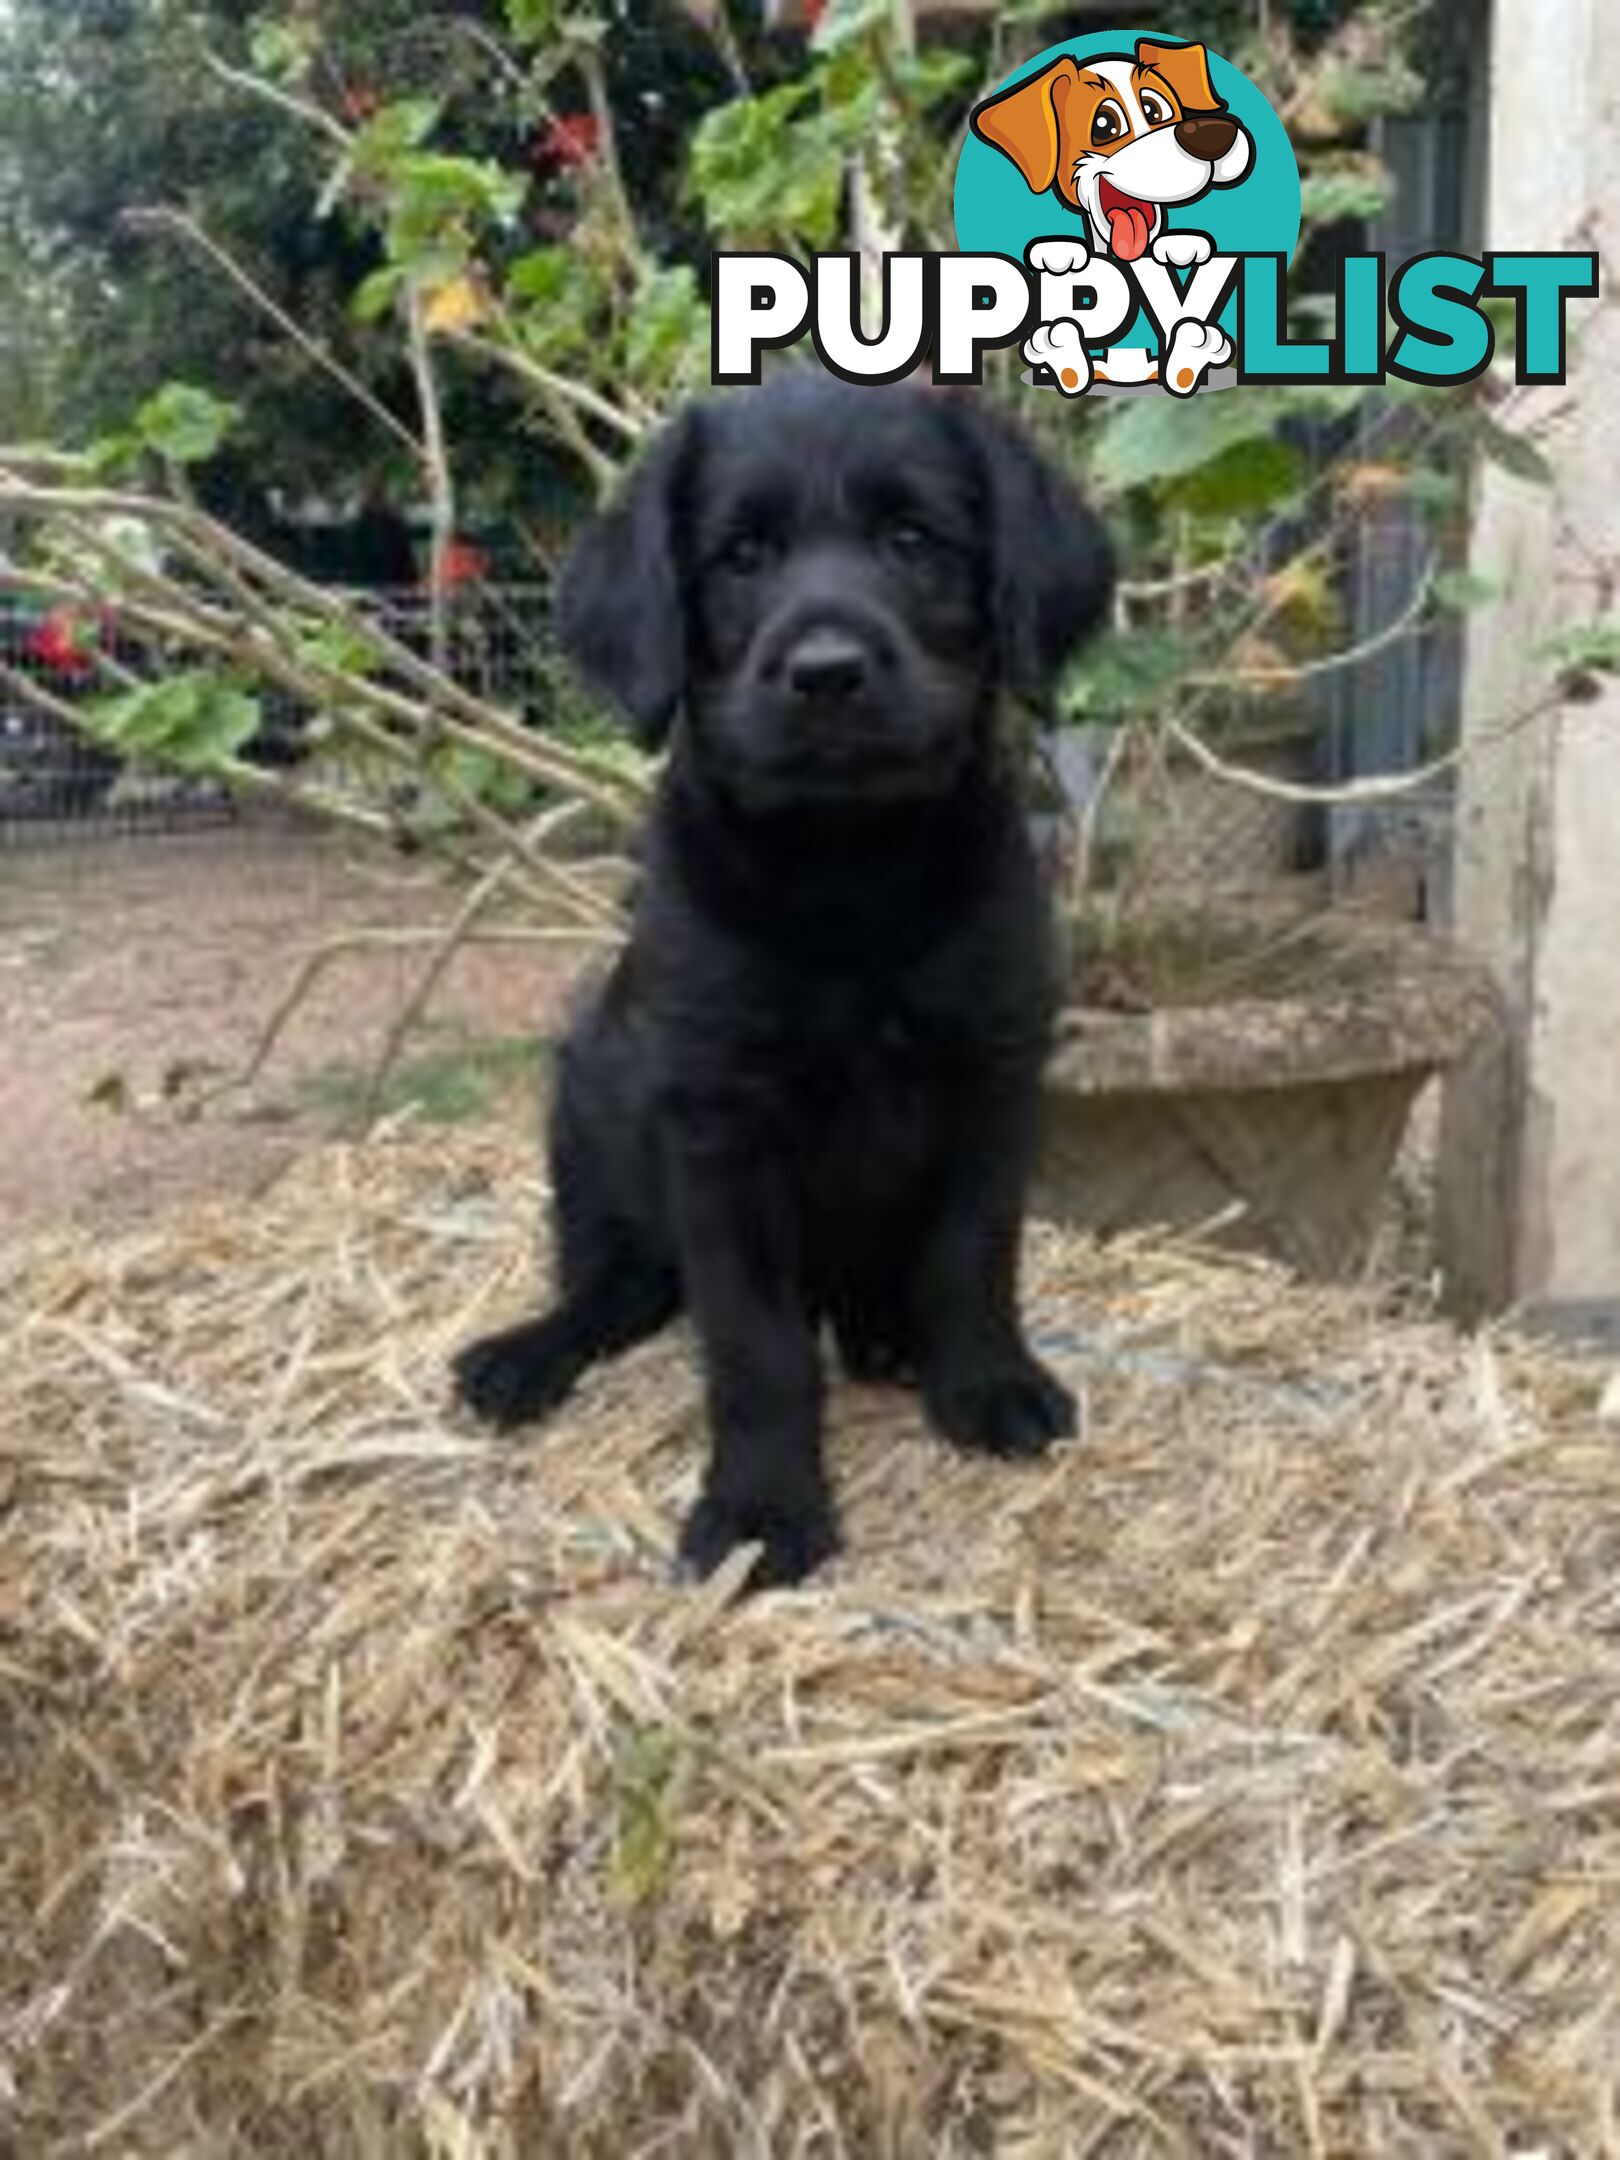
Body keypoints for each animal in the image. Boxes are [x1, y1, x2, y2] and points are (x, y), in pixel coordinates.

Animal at [457, 371, 1114, 1589]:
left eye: (913, 540)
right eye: (742, 557)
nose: (826, 675)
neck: (845, 874)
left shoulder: (996, 1075)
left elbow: (972, 1256)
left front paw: (987, 1384)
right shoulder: (723, 1128)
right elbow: (756, 1345)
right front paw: (762, 1507)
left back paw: (891, 1337)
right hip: (589, 1109)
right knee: (616, 1289)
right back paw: (523, 1357)